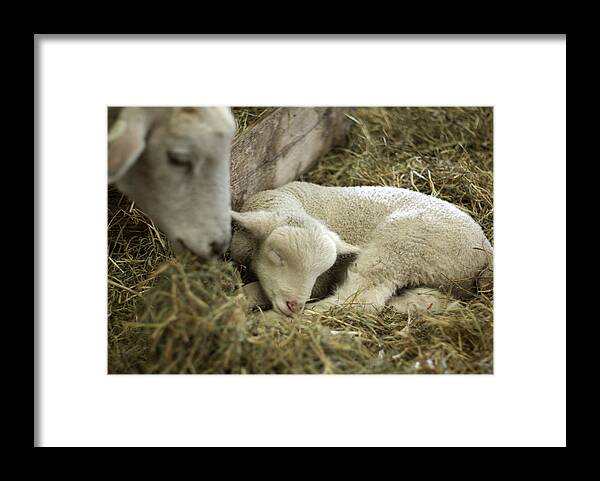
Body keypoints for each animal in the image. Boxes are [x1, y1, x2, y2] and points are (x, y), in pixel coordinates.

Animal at [230, 180, 492, 316]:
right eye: (276, 255)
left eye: (318, 272)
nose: (295, 306)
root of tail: (486, 249)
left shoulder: (320, 283)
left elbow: (256, 290)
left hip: (400, 247)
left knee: (358, 300)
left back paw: (271, 320)